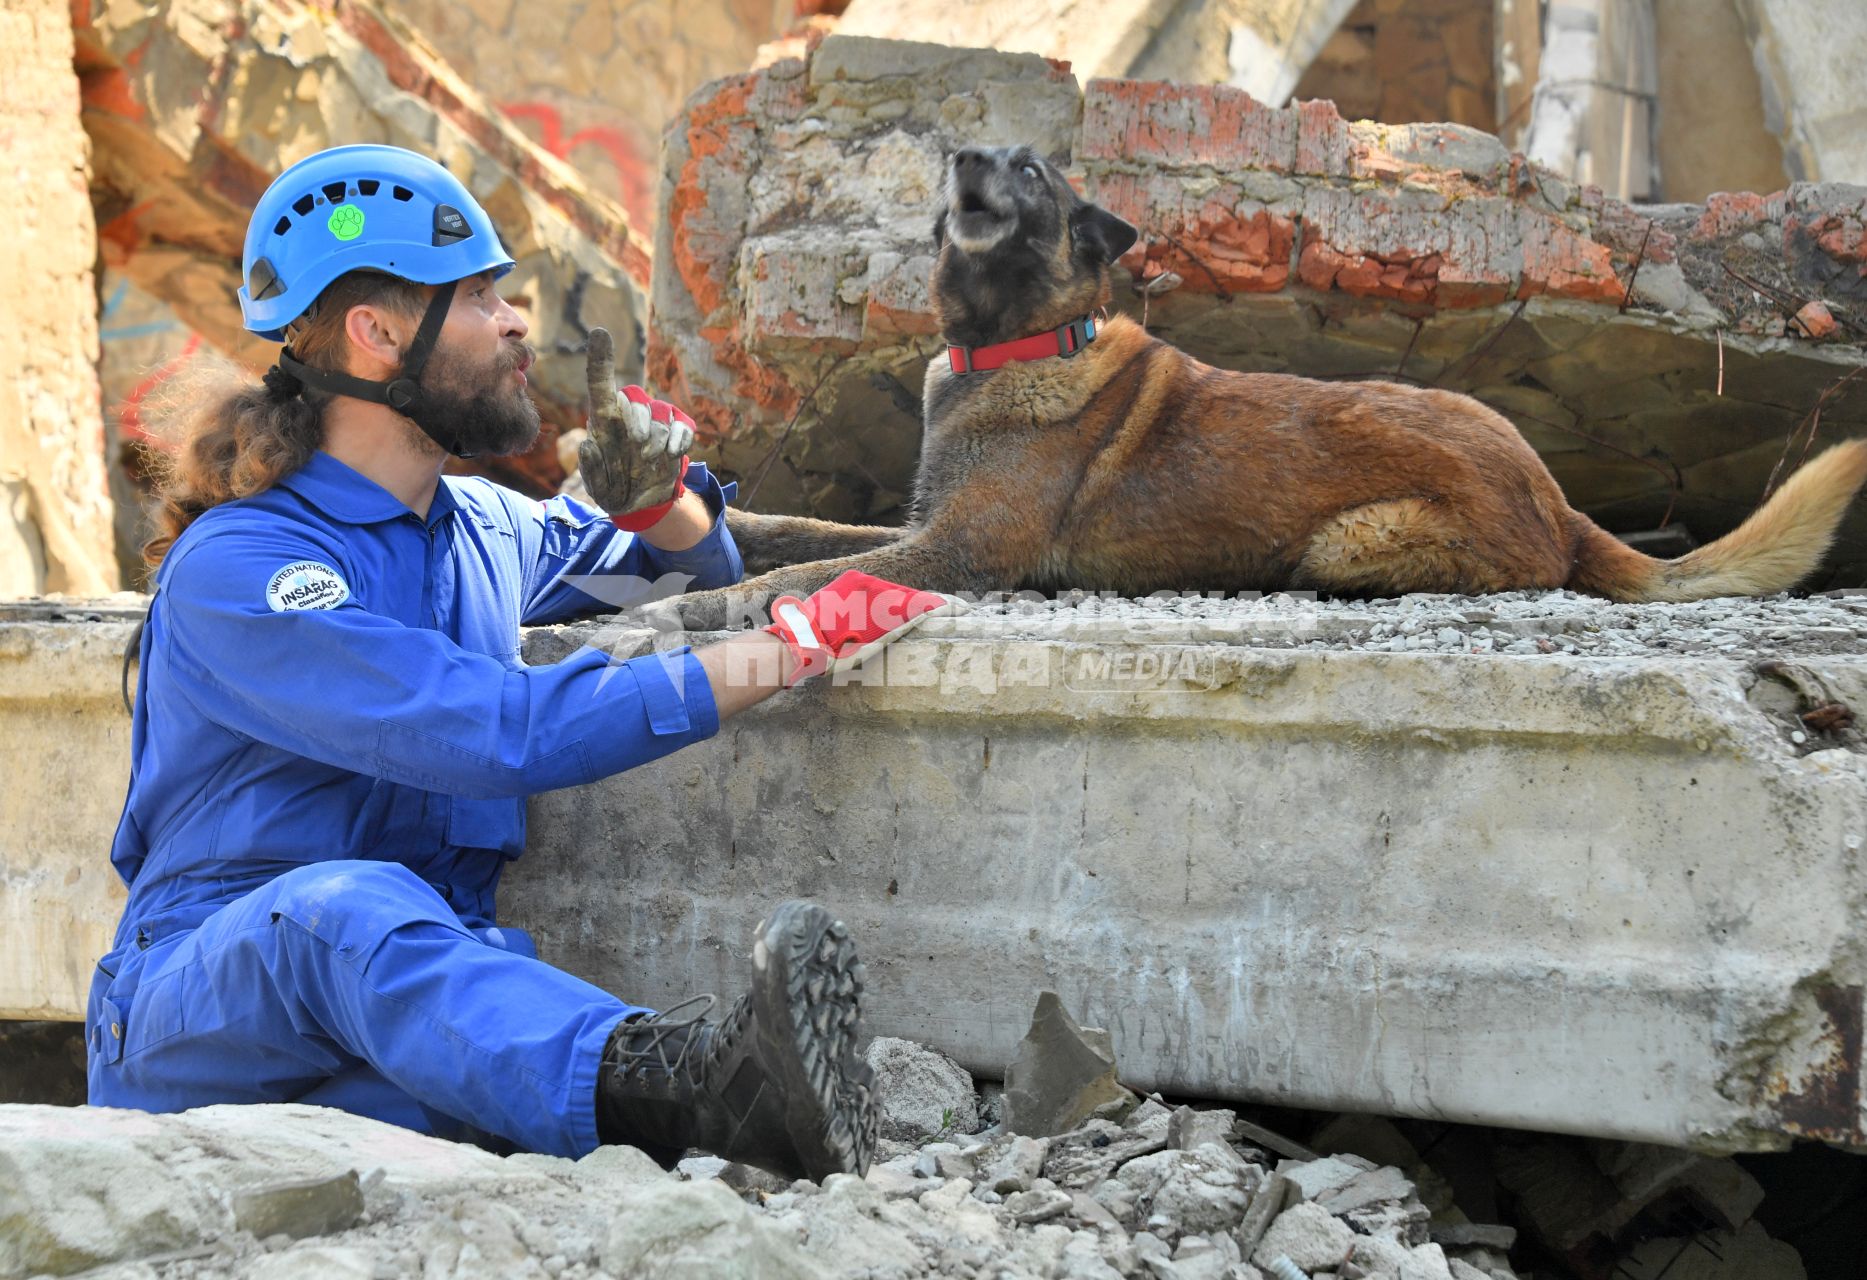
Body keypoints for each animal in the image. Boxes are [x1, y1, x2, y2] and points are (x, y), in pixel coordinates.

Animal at [664, 145, 1859, 630]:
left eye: (1032, 170)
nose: (961, 162)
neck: (1021, 344)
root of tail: (1558, 501)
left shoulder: (960, 551)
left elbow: (810, 572)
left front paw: (700, 602)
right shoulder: (923, 524)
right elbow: (806, 533)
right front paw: (727, 519)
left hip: (1349, 539)